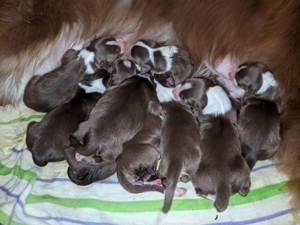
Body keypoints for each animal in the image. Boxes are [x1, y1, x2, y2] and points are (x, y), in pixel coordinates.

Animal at [173, 77, 251, 213]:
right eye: (184, 81)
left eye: (184, 98)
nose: (173, 91)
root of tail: (223, 183)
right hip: (243, 168)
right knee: (244, 189)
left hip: (198, 173)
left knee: (201, 191)